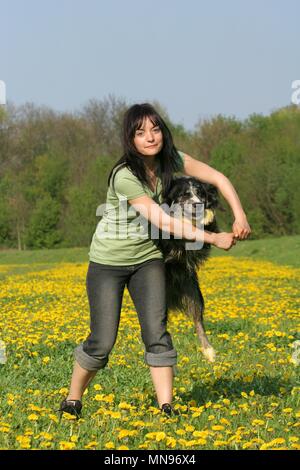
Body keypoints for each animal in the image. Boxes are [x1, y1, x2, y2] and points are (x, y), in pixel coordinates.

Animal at [157, 176, 220, 364]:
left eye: (200, 194)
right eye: (184, 195)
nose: (197, 204)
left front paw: (206, 217)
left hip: (193, 290)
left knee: (198, 319)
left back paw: (209, 351)